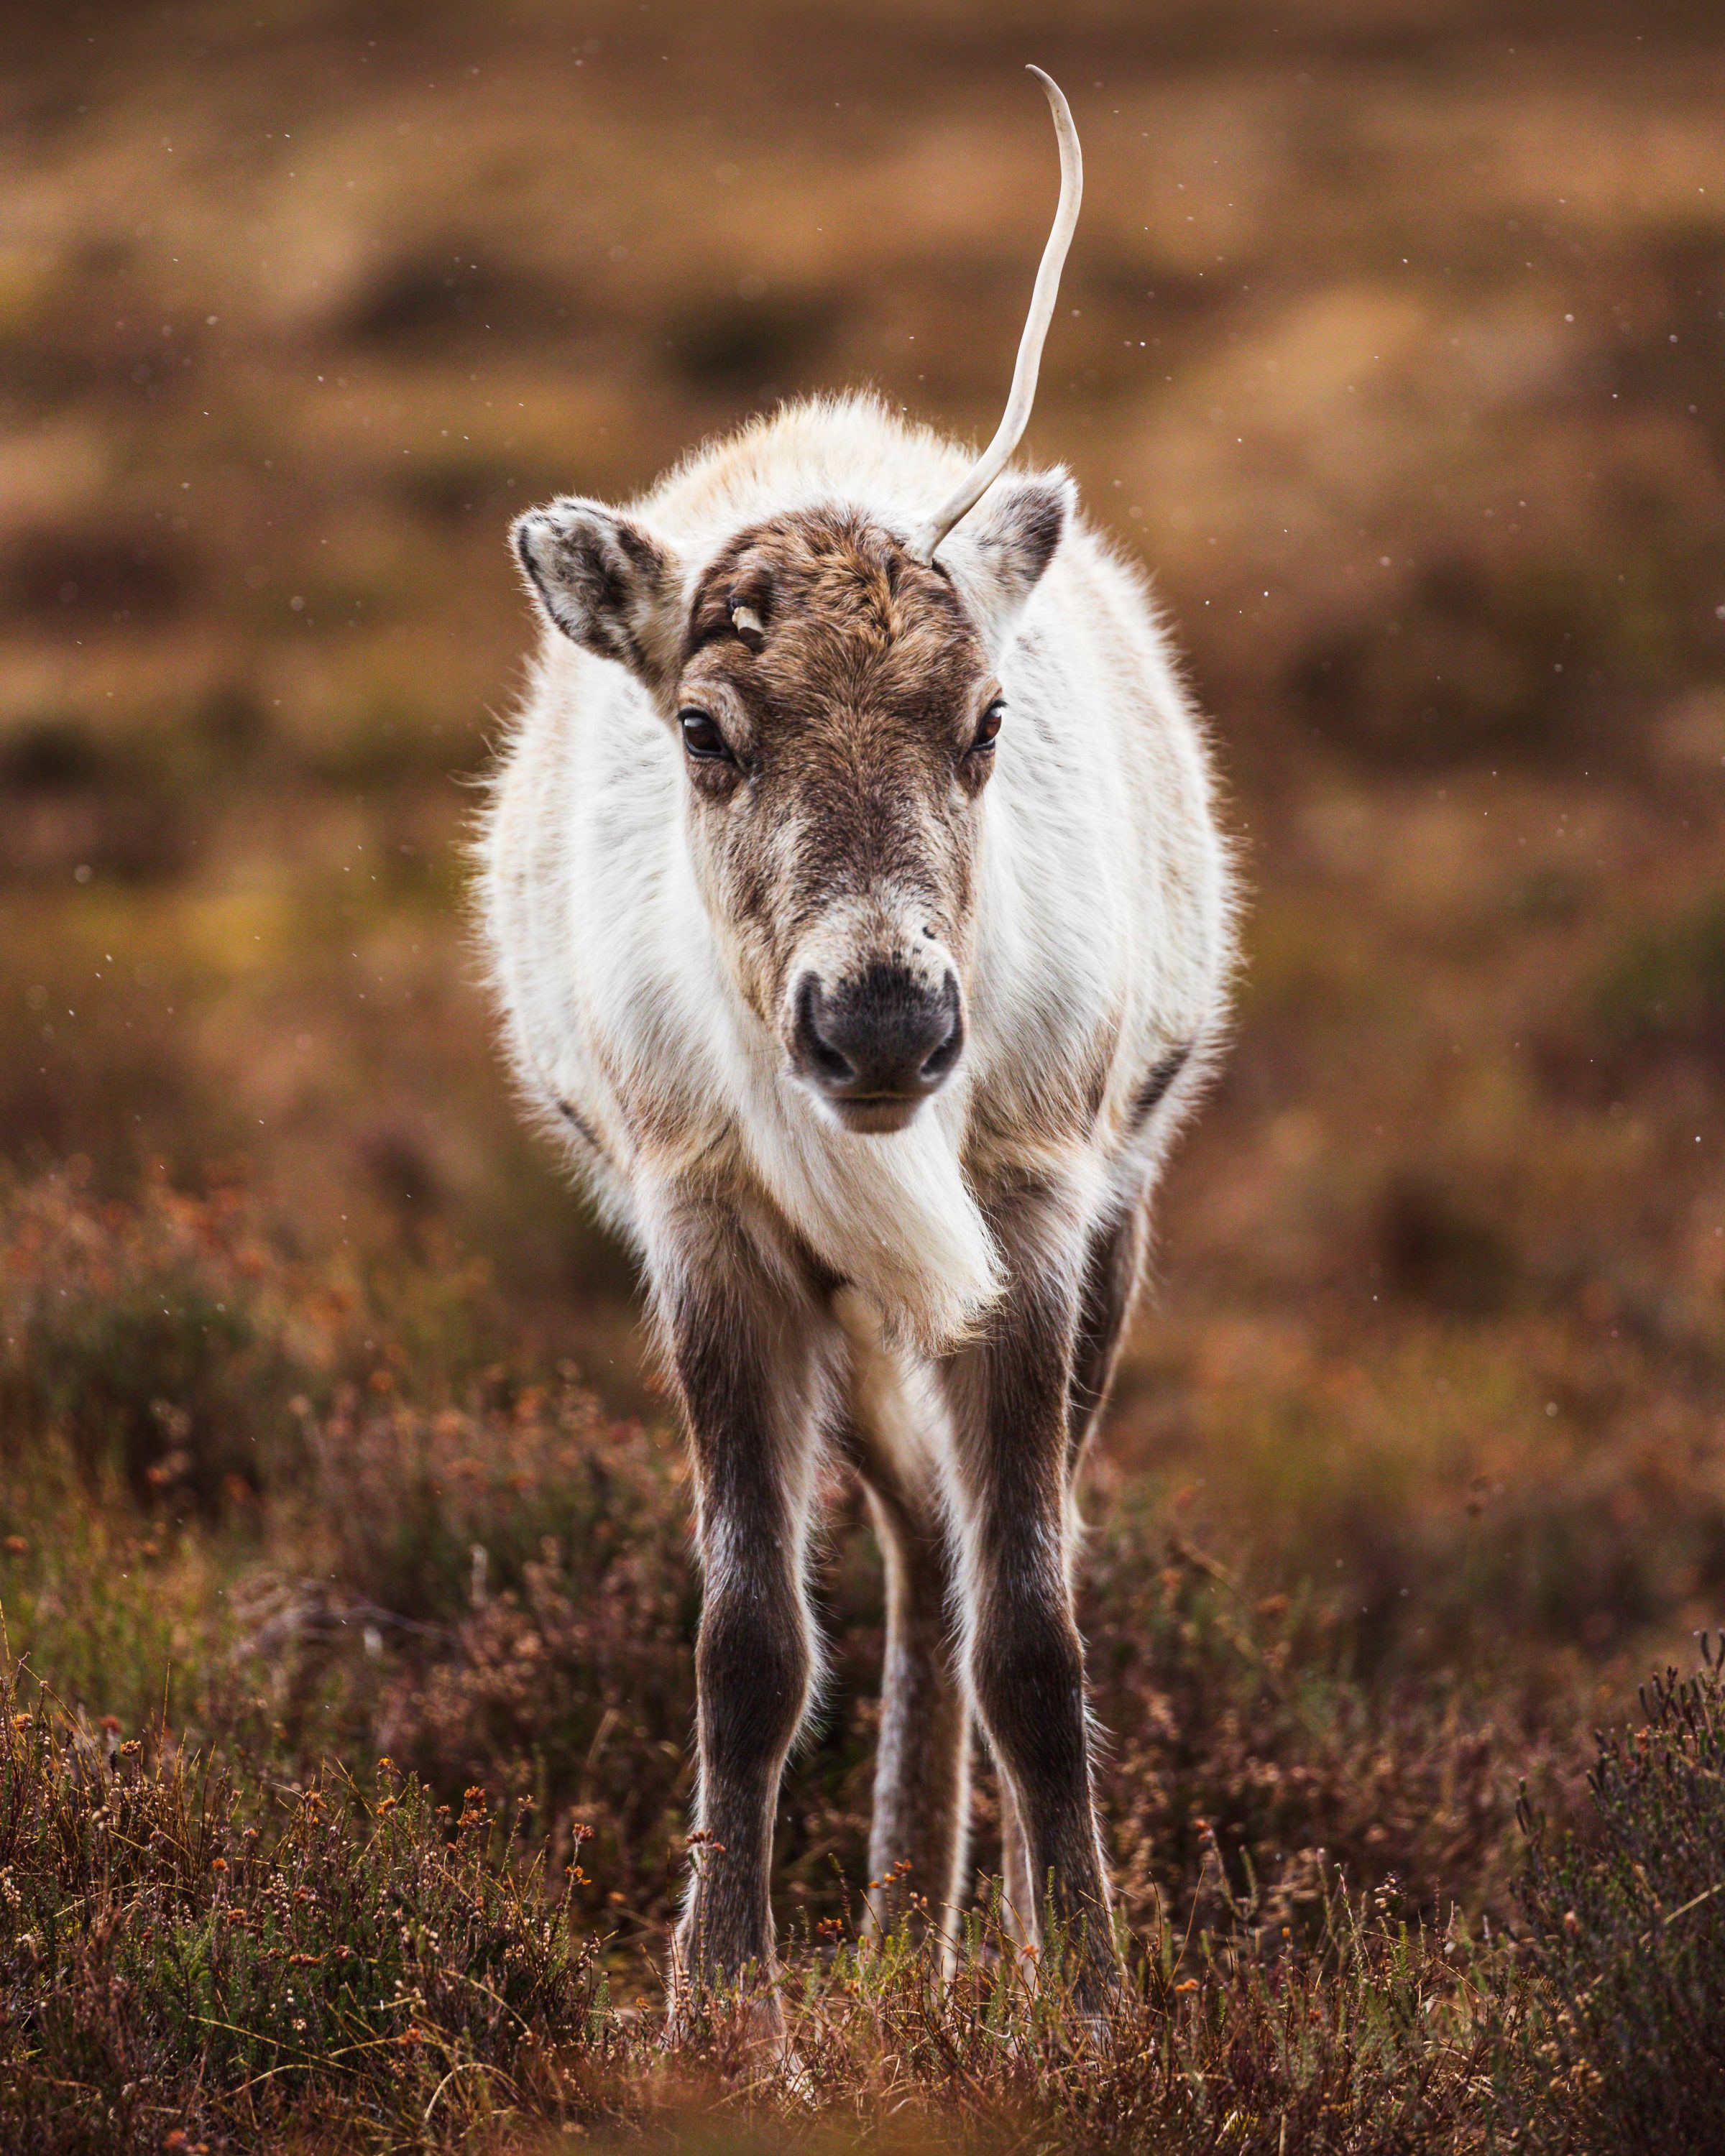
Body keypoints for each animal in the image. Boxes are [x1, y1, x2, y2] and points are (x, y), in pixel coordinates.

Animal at [477, 69, 1235, 2029]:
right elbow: (746, 1645)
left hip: (1094, 1234)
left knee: (968, 1576)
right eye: (702, 725)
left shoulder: (1038, 1209)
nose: (881, 1012)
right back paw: (902, 1926)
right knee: (911, 1555)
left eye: (985, 719)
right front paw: (720, 2010)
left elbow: (1039, 1632)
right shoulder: (707, 1225)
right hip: (861, 1309)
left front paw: (1093, 2000)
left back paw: (967, 1934)